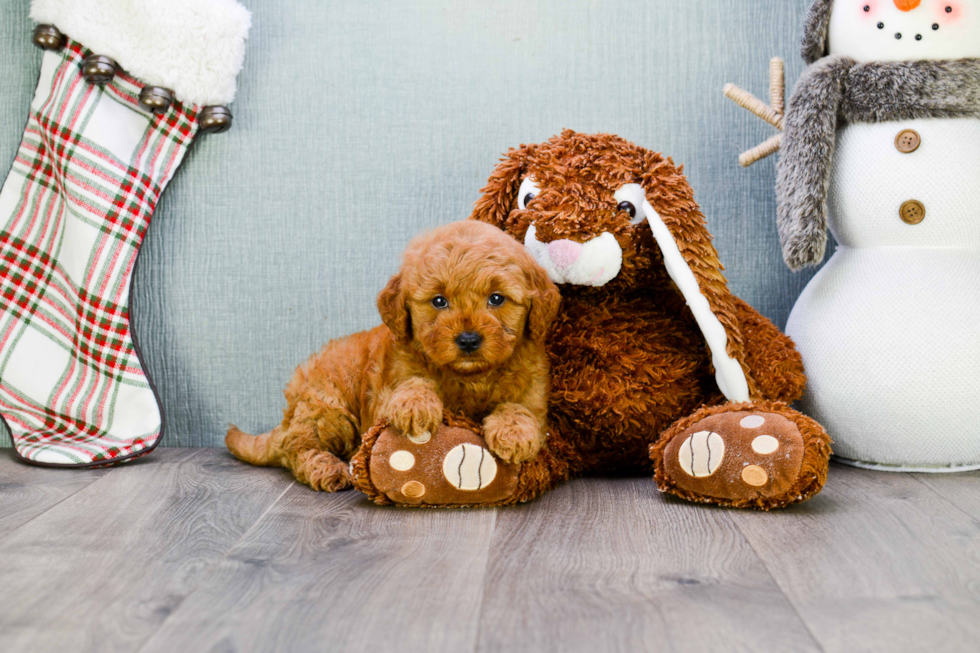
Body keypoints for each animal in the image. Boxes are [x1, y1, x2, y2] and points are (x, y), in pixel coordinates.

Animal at [224, 219, 560, 488]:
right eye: (439, 301)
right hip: (329, 409)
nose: (467, 340)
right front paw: (415, 405)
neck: (469, 377)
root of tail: (288, 415)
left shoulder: (534, 390)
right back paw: (327, 469)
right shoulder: (385, 391)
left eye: (497, 299)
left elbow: (521, 408)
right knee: (297, 448)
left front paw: (514, 433)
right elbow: (410, 383)